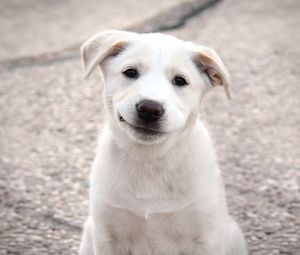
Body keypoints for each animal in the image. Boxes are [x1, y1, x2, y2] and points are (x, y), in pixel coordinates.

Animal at [78, 30, 247, 255]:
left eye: (180, 81)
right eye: (130, 72)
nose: (150, 109)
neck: (150, 159)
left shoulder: (204, 237)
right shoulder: (108, 236)